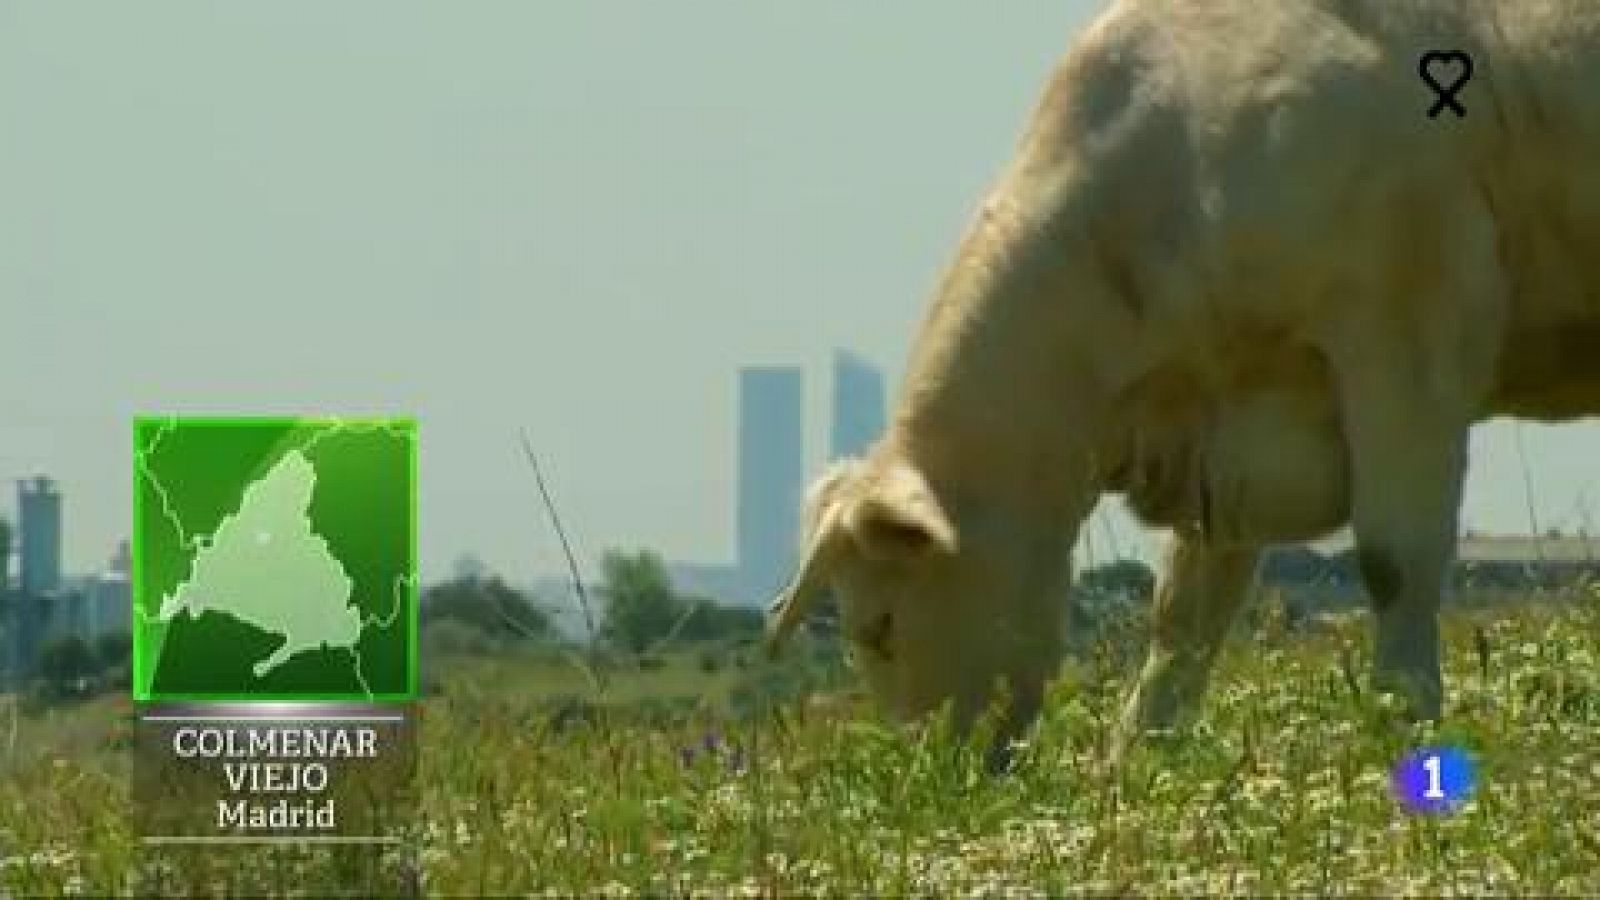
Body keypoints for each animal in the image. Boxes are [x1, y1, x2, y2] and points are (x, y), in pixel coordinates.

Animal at [763, 0, 1600, 765]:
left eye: (880, 627)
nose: (932, 780)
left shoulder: (1405, 337)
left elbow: (1395, 561)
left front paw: (1405, 725)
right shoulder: (1230, 437)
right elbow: (1183, 616)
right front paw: (1137, 761)